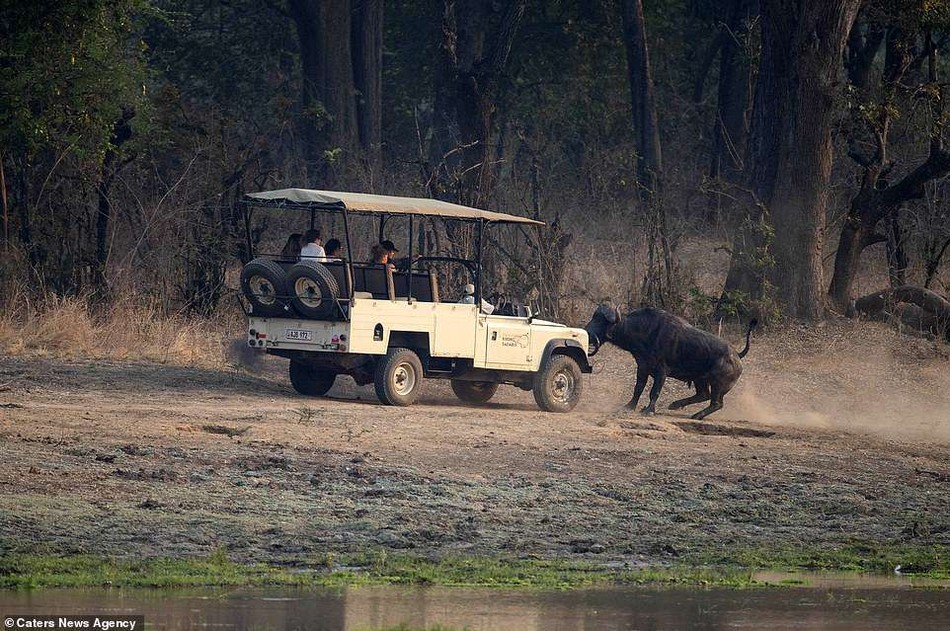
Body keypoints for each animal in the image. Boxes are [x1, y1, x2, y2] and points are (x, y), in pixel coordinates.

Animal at [588, 304, 760, 420]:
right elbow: (638, 389)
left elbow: (654, 391)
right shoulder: (642, 367)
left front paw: (649, 410)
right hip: (699, 379)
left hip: (717, 383)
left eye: (602, 321)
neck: (642, 331)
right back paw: (676, 405)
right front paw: (629, 407)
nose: (587, 332)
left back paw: (696, 415)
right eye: (593, 317)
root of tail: (737, 355)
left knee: (716, 403)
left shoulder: (661, 371)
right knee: (703, 395)